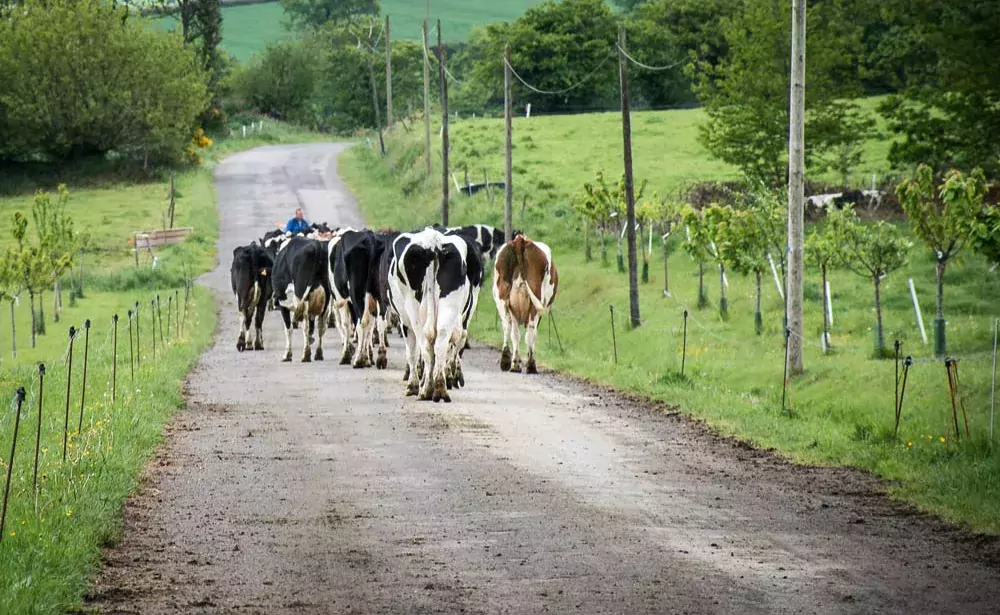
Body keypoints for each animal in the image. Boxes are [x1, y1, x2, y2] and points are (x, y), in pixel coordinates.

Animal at [490, 233, 556, 372]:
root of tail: (520, 239)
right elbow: (532, 335)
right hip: (534, 303)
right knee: (529, 331)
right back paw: (530, 365)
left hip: (504, 300)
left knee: (510, 329)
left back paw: (509, 361)